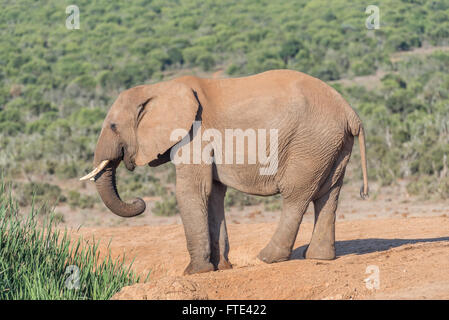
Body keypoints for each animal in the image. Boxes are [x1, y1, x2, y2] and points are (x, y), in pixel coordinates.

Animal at [80, 69, 368, 276]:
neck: (157, 88)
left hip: (310, 143)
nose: (139, 202)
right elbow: (214, 194)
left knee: (297, 196)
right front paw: (220, 268)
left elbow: (192, 191)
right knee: (329, 194)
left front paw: (194, 272)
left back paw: (268, 258)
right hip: (332, 144)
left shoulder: (194, 133)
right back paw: (319, 257)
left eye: (113, 126)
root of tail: (351, 113)